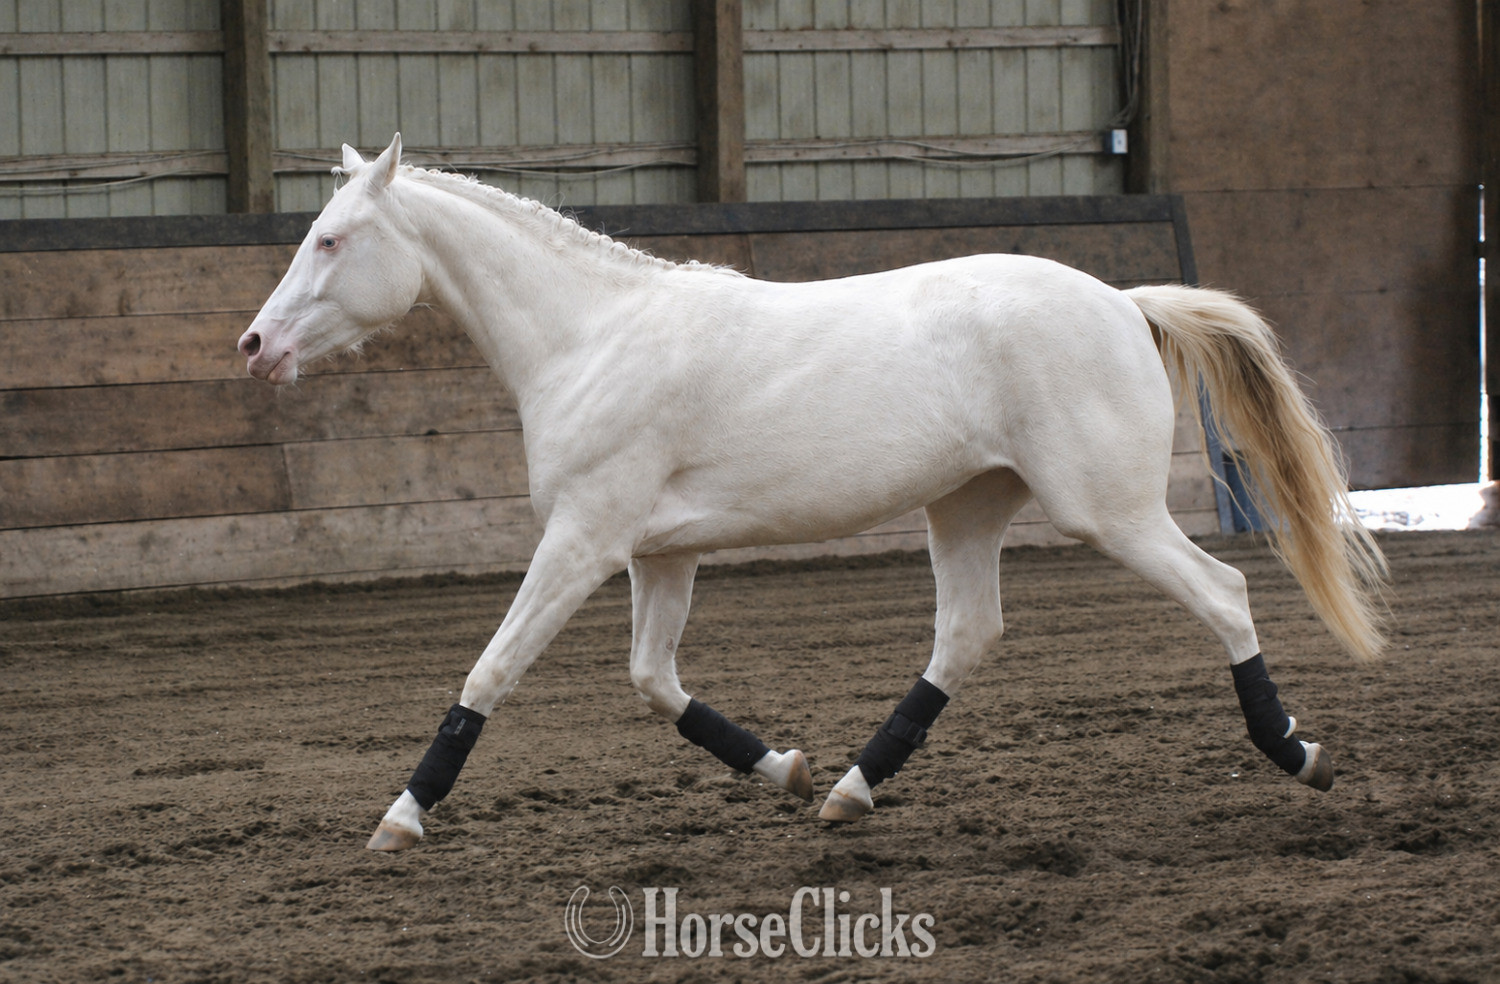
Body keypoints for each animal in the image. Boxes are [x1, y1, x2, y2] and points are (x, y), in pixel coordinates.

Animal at [238, 135, 1387, 851]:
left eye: (332, 238)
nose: (254, 347)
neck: (591, 338)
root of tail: (1121, 299)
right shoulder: (660, 553)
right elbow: (655, 682)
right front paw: (783, 768)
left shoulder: (585, 538)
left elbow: (492, 670)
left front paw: (400, 818)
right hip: (968, 505)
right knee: (966, 635)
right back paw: (846, 792)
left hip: (1108, 512)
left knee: (1222, 593)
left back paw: (1300, 754)